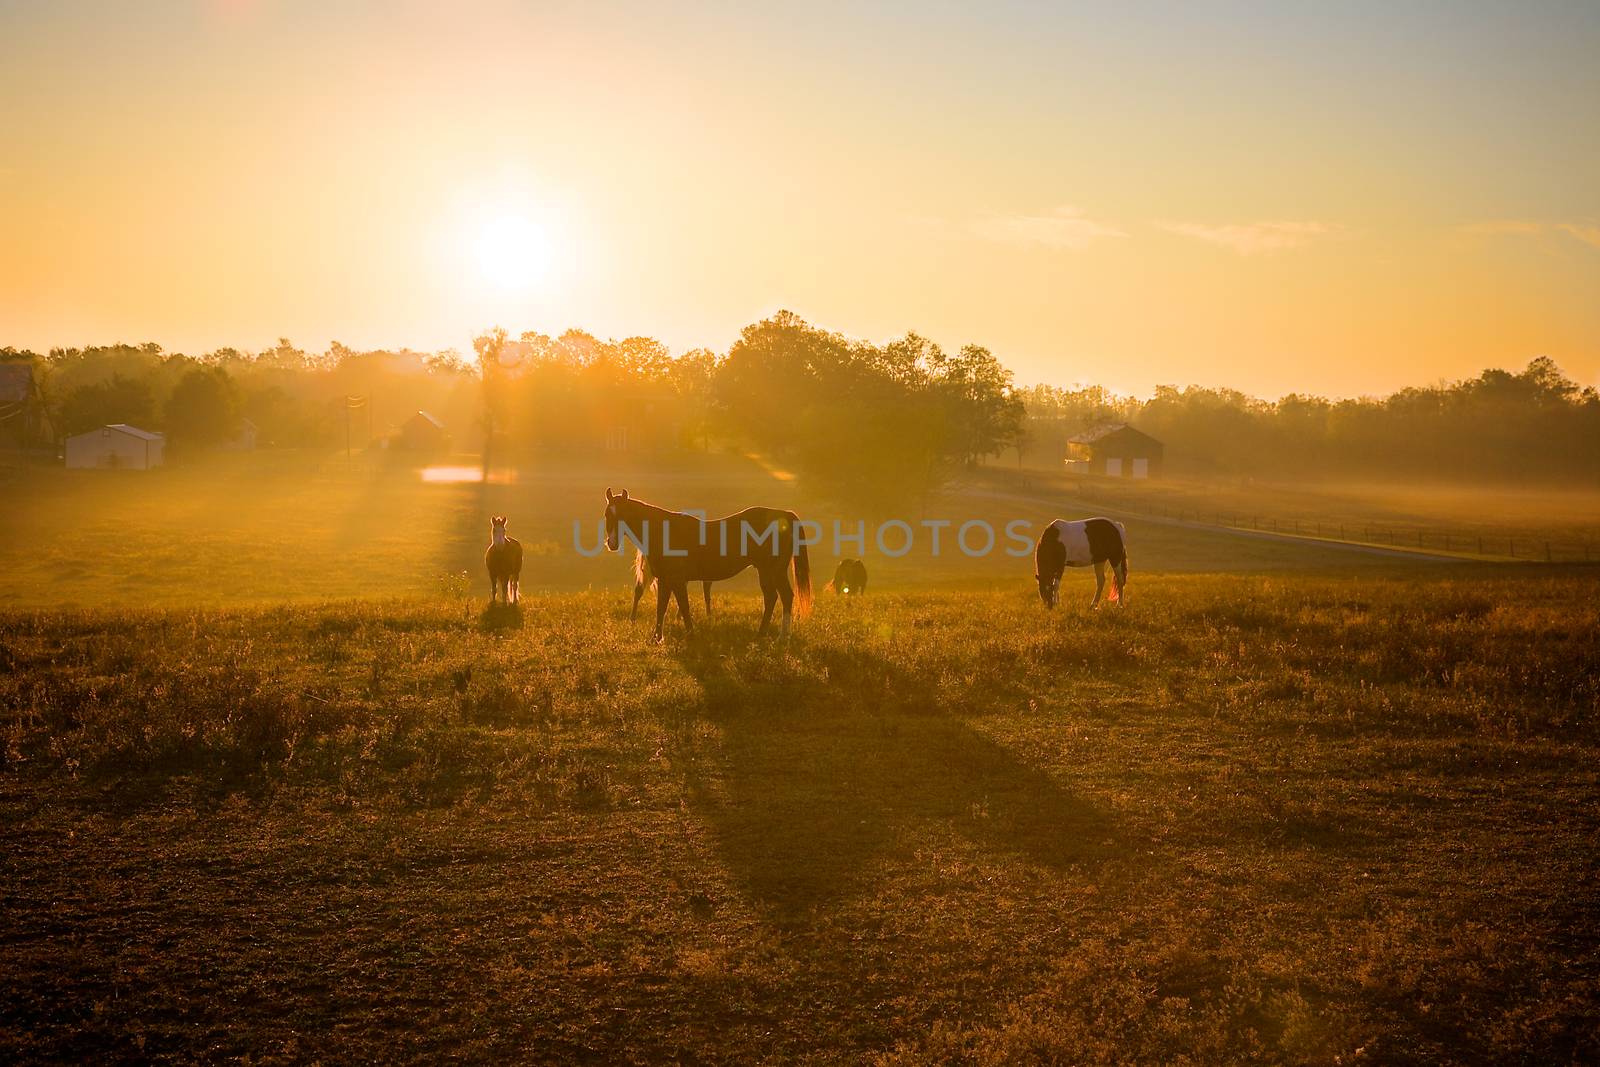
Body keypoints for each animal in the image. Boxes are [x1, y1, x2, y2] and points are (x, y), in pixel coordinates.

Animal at [604, 486, 819, 643]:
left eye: (623, 514)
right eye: (607, 515)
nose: (612, 544)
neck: (664, 532)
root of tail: (785, 515)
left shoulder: (677, 580)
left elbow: (684, 607)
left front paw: (690, 635)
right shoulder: (665, 580)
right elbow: (661, 608)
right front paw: (656, 639)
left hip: (772, 570)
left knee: (782, 597)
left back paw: (779, 636)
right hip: (768, 571)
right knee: (775, 597)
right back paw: (766, 635)